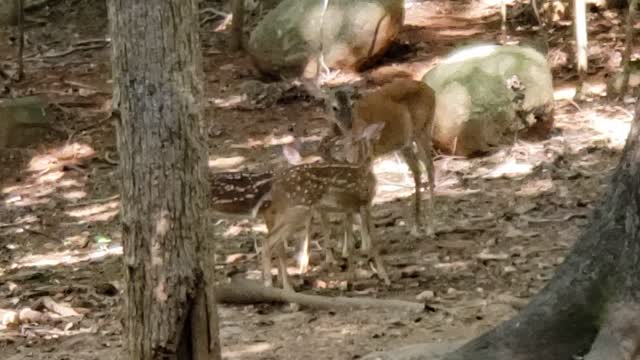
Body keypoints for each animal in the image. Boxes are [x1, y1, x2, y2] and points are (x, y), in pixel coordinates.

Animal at [260, 122, 390, 292]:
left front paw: (351, 279)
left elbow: (350, 244)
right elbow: (374, 241)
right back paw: (274, 286)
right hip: (297, 210)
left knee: (271, 241)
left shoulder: (349, 208)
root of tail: (275, 186)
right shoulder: (365, 202)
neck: (364, 168)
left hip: (285, 212)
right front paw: (385, 277)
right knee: (269, 241)